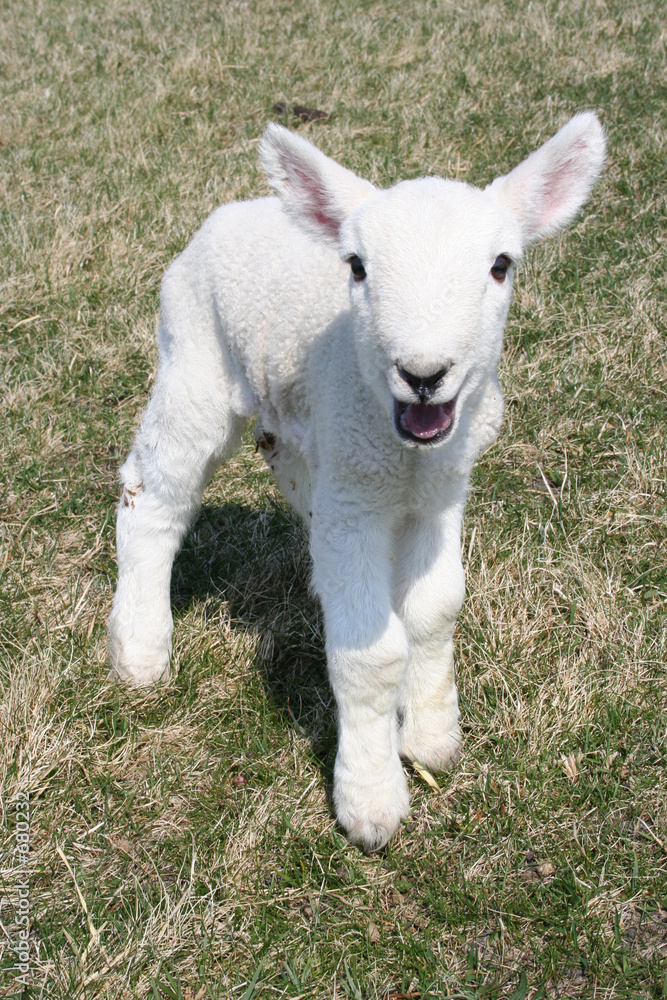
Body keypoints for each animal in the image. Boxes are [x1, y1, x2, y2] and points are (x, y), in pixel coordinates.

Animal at [108, 114, 606, 851]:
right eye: (358, 267)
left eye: (500, 265)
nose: (423, 373)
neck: (405, 450)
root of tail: (238, 209)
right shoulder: (356, 495)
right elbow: (370, 655)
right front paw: (370, 801)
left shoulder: (439, 492)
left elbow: (436, 609)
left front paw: (431, 735)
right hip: (194, 359)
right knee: (154, 493)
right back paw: (139, 650)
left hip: (300, 420)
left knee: (285, 465)